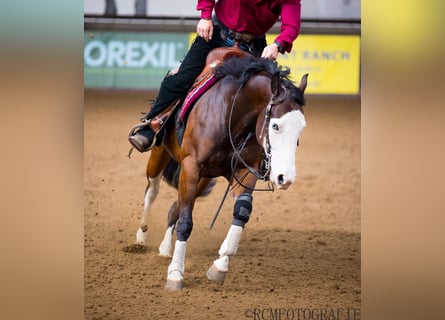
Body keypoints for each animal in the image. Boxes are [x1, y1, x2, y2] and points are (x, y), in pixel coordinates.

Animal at [125, 47, 306, 290]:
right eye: (275, 125)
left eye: (301, 129)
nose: (284, 178)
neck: (231, 111)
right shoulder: (191, 166)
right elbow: (186, 222)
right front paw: (175, 274)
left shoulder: (244, 171)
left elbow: (241, 211)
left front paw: (219, 267)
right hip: (160, 153)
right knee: (152, 191)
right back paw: (141, 237)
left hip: (203, 178)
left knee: (175, 206)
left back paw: (164, 248)